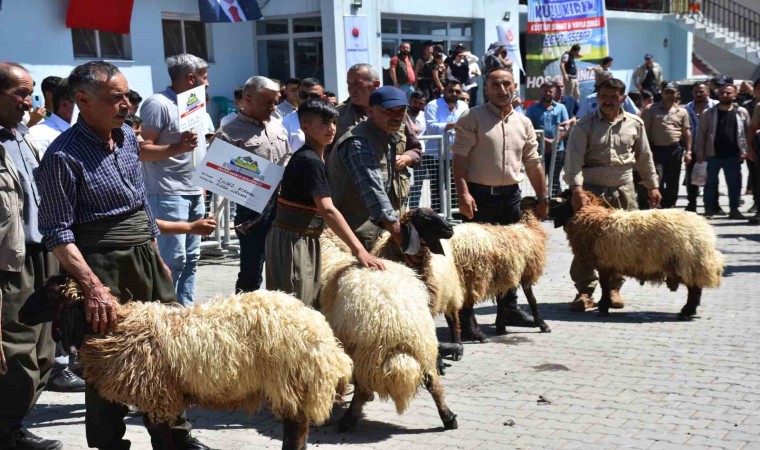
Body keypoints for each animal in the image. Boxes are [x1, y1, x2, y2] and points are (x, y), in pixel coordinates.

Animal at [19, 274, 354, 450]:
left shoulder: (158, 398)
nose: (21, 314)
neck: (117, 327)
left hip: (292, 381)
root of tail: (323, 333)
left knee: (295, 432)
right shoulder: (160, 398)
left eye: (48, 295)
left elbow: (163, 443)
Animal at [316, 234, 458, 430]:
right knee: (433, 382)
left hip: (366, 353)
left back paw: (348, 421)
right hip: (423, 348)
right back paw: (448, 417)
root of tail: (398, 323)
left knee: (362, 390)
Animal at [552, 192, 724, 318]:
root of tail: (705, 230)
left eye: (564, 200)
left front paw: (603, 307)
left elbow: (605, 286)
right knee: (695, 288)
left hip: (688, 262)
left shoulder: (604, 263)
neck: (594, 219)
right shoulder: (608, 263)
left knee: (694, 289)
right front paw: (604, 305)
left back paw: (686, 312)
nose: (551, 214)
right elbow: (606, 285)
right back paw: (689, 311)